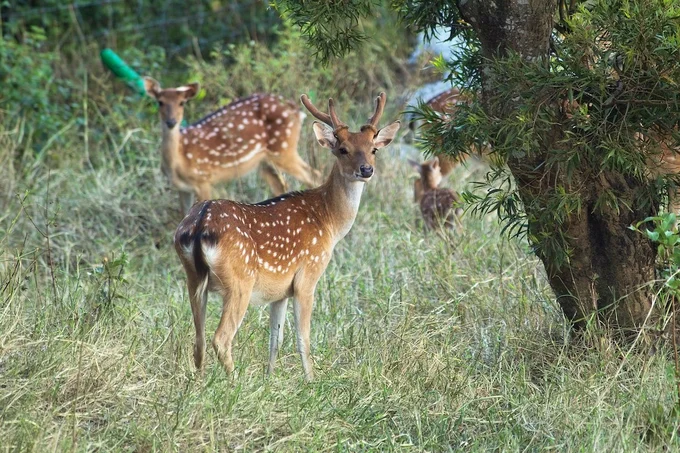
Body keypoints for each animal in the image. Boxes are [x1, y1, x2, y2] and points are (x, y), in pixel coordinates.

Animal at [141, 77, 322, 212]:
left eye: (182, 103)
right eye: (160, 102)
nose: (171, 122)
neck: (180, 160)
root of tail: (297, 110)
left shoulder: (203, 180)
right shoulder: (183, 189)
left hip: (283, 149)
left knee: (314, 174)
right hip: (264, 161)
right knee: (282, 185)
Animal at [173, 91, 402, 378]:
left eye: (374, 149)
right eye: (342, 149)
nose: (366, 170)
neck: (329, 222)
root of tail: (200, 224)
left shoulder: (280, 291)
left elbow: (276, 339)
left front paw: (269, 378)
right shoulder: (307, 275)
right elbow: (303, 338)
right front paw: (311, 380)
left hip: (193, 279)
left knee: (198, 339)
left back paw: (201, 381)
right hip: (240, 281)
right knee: (221, 338)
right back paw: (235, 381)